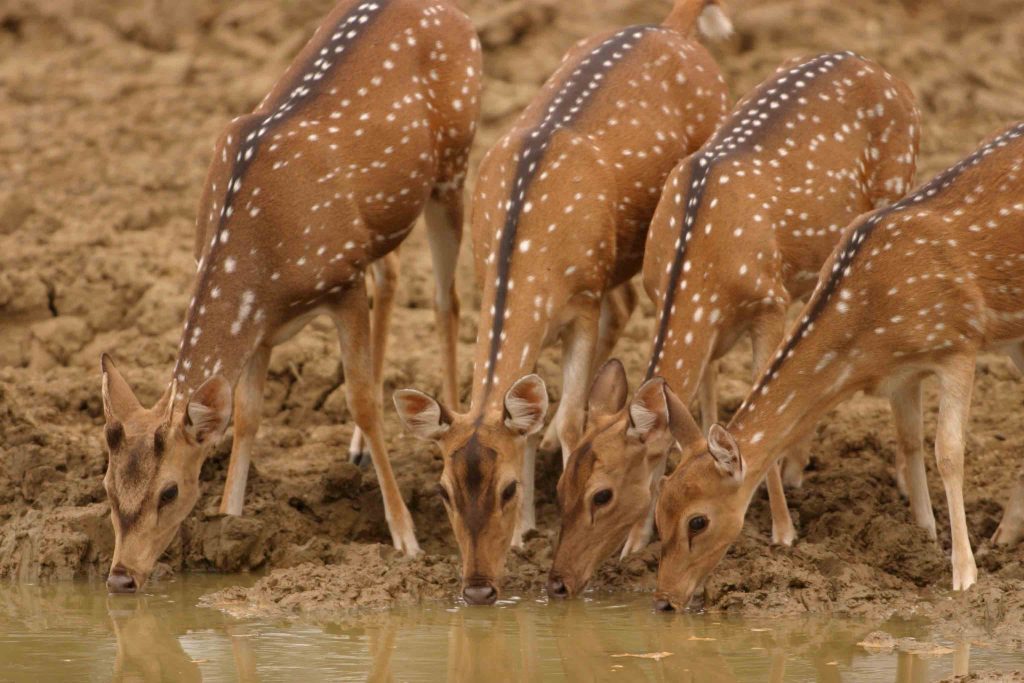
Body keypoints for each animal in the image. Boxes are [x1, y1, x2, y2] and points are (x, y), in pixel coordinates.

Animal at [97, 0, 481, 593]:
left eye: (169, 490)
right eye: (107, 488)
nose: (120, 577)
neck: (264, 265)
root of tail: (457, 15)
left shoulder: (341, 281)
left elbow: (363, 398)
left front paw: (406, 537)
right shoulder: (261, 325)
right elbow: (248, 414)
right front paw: (230, 519)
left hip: (453, 167)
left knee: (447, 297)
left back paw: (452, 420)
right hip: (383, 219)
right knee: (393, 275)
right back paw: (357, 448)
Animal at [391, 0, 737, 602]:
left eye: (506, 489)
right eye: (442, 491)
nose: (477, 590)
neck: (531, 254)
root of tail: (672, 27)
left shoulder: (584, 298)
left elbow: (573, 418)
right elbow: (529, 413)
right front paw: (527, 530)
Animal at [548, 52, 925, 598]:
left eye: (602, 495)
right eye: (561, 486)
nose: (557, 582)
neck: (703, 265)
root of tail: (889, 75)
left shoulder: (769, 302)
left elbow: (754, 393)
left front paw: (783, 533)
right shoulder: (693, 315)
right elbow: (700, 405)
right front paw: (636, 544)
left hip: (896, 186)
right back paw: (799, 465)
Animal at [651, 120, 1024, 610]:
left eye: (698, 521)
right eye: (659, 512)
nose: (664, 598)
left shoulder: (960, 344)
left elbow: (948, 451)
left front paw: (964, 574)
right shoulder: (902, 373)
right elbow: (909, 440)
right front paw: (923, 537)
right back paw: (1005, 533)